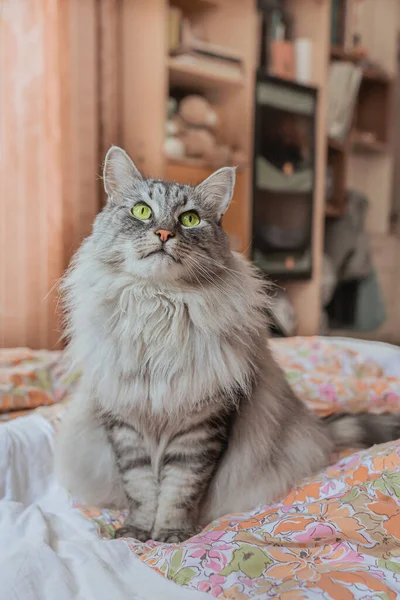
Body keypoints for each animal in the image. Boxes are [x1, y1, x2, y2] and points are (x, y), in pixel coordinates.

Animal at [56, 146, 400, 544]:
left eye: (189, 219)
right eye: (142, 211)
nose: (164, 233)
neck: (159, 308)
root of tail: (317, 427)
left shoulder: (200, 426)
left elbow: (179, 489)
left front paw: (171, 534)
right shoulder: (126, 423)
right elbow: (140, 488)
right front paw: (138, 532)